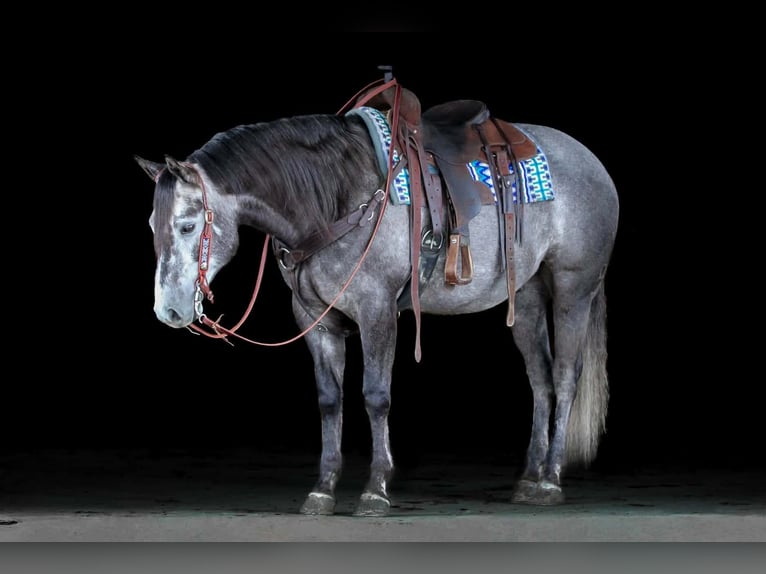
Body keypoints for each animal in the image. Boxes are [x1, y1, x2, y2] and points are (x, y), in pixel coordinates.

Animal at [135, 76, 619, 516]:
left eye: (187, 225)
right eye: (153, 225)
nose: (168, 310)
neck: (336, 196)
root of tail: (593, 163)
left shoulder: (377, 310)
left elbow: (375, 395)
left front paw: (375, 489)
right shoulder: (315, 319)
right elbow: (330, 400)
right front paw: (322, 489)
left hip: (574, 287)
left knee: (565, 376)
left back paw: (551, 480)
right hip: (530, 294)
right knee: (540, 380)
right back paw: (529, 478)